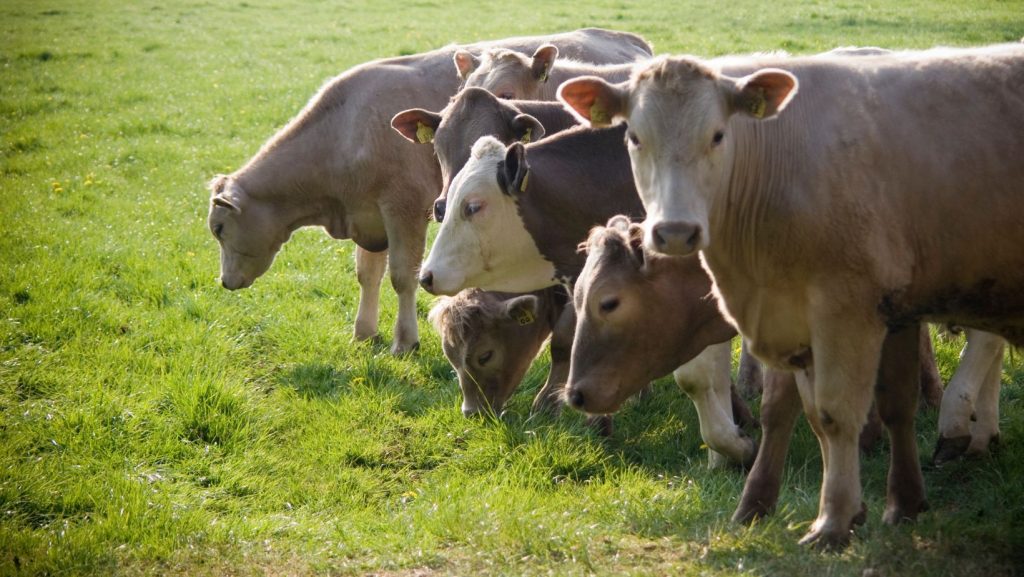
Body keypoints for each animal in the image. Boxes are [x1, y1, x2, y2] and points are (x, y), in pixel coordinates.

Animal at [202, 31, 647, 356]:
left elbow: (403, 276)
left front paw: (405, 341)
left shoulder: (403, 209)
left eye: (219, 229)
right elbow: (366, 274)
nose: (225, 282)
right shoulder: (369, 217)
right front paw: (364, 332)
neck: (346, 129)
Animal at [561, 42, 1024, 549]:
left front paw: (837, 516)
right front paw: (761, 495)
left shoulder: (856, 312)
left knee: (985, 344)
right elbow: (791, 409)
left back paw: (965, 428)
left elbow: (847, 409)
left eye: (609, 303)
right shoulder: (797, 318)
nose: (575, 394)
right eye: (634, 137)